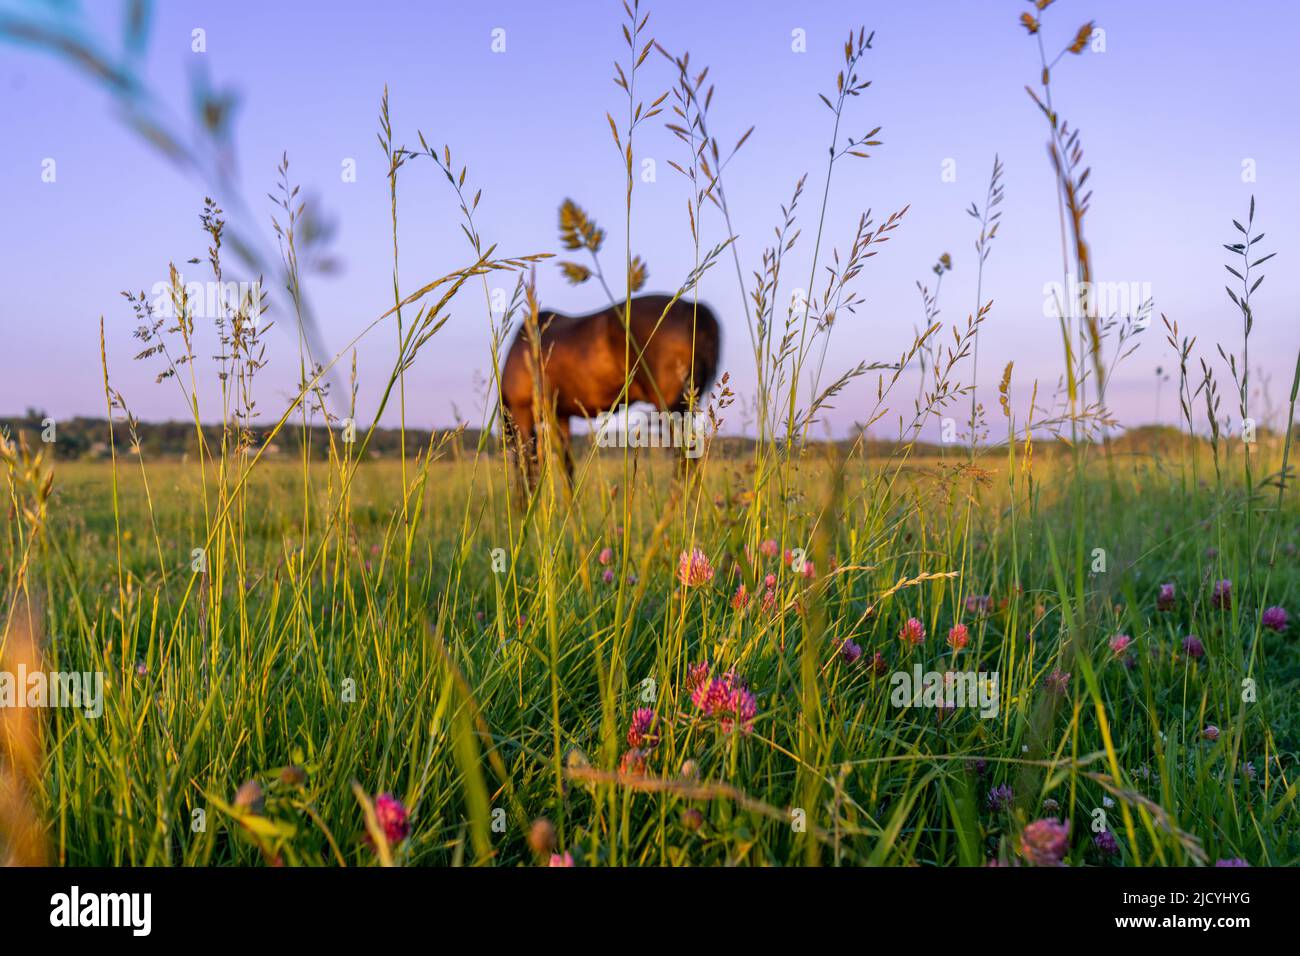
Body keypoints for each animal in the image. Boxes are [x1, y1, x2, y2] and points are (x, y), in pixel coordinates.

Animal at [499, 293, 722, 486]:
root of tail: (691, 308)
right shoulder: (561, 415)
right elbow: (567, 467)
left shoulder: (523, 412)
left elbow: (528, 467)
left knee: (684, 460)